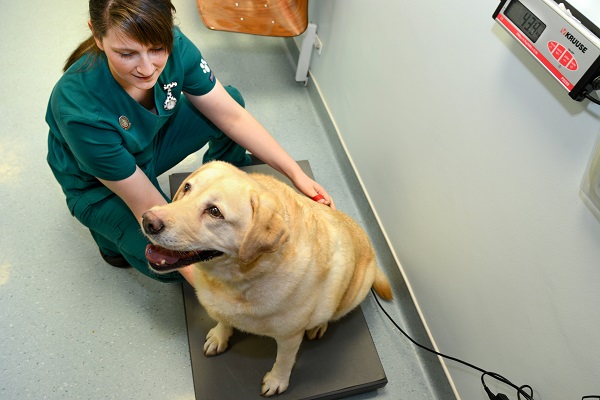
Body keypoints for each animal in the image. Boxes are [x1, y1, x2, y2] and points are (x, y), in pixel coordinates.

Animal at [142, 161, 394, 396]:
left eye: (215, 211)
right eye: (187, 187)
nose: (147, 220)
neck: (236, 282)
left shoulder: (289, 338)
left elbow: (284, 360)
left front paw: (276, 381)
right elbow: (224, 320)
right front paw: (220, 336)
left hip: (353, 292)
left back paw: (318, 325)